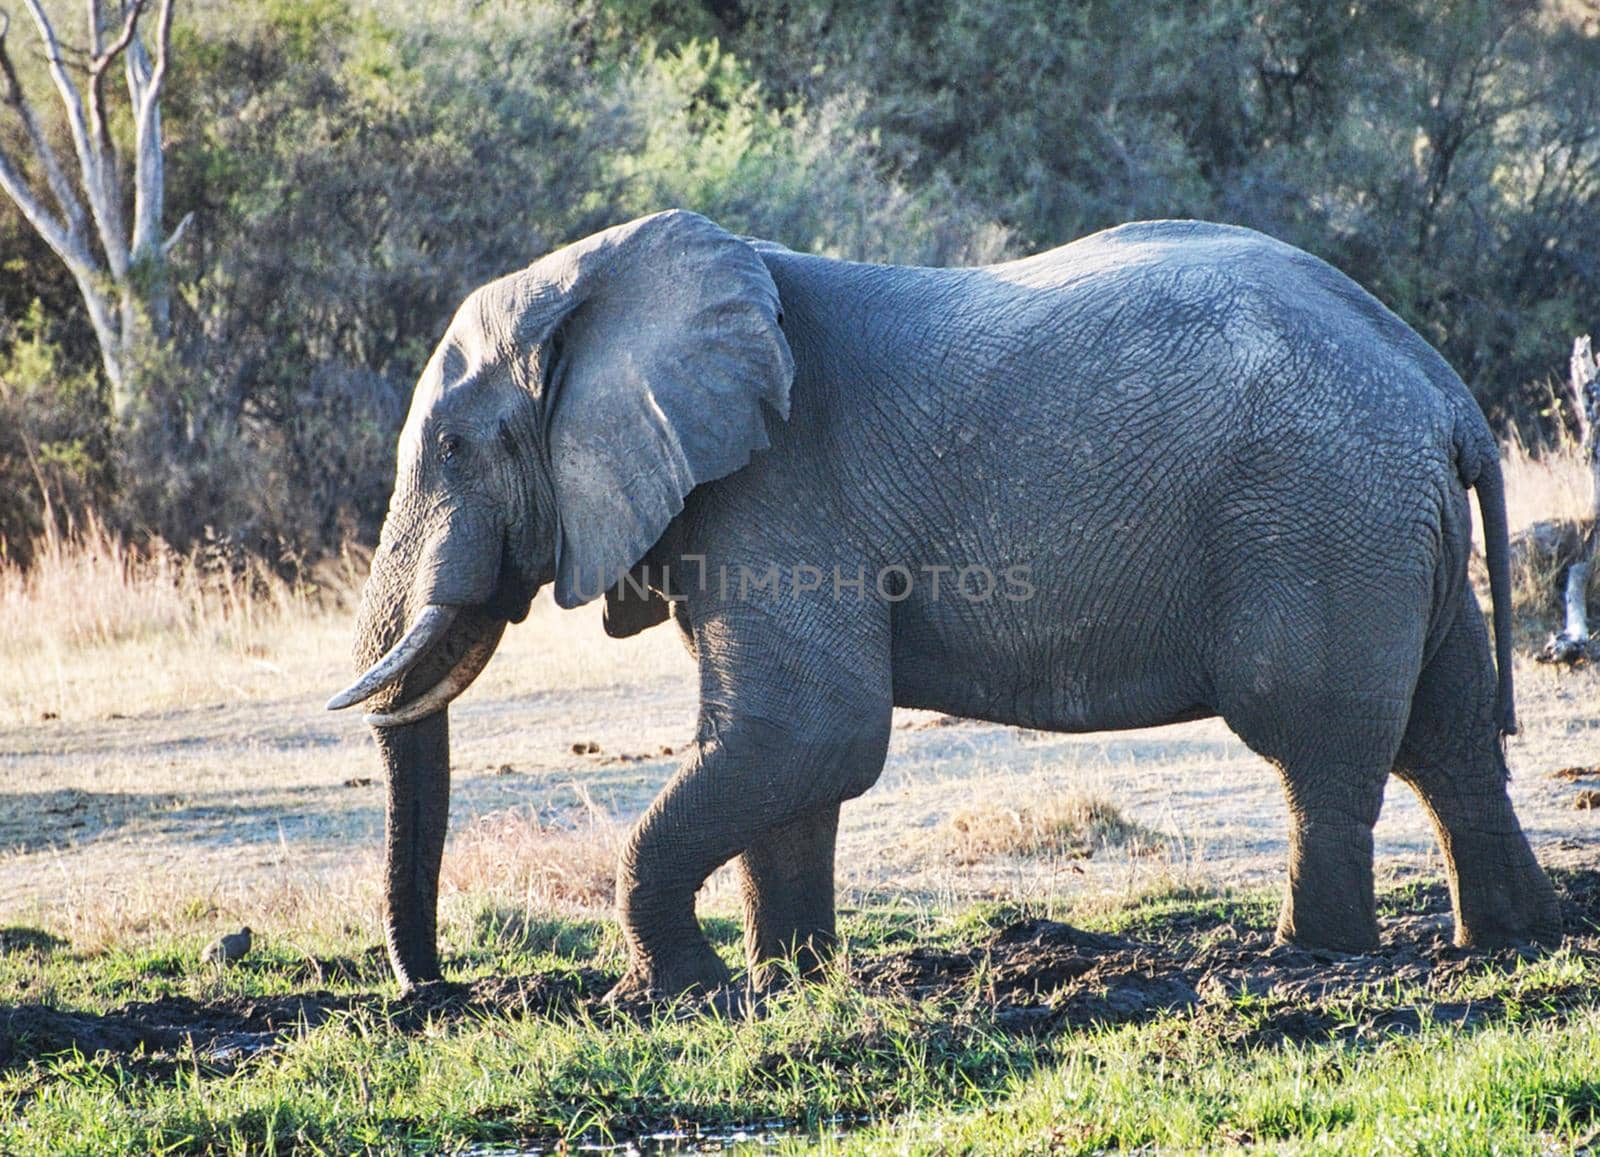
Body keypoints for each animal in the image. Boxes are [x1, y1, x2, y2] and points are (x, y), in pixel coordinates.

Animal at [324, 211, 1561, 1004]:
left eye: (453, 448)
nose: (437, 992)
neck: (608, 277)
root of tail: (1443, 389)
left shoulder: (779, 491)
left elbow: (812, 730)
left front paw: (684, 988)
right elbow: (789, 755)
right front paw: (792, 978)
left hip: (1321, 524)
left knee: (1321, 744)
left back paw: (1311, 958)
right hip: (1391, 530)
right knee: (1449, 737)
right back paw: (1508, 939)